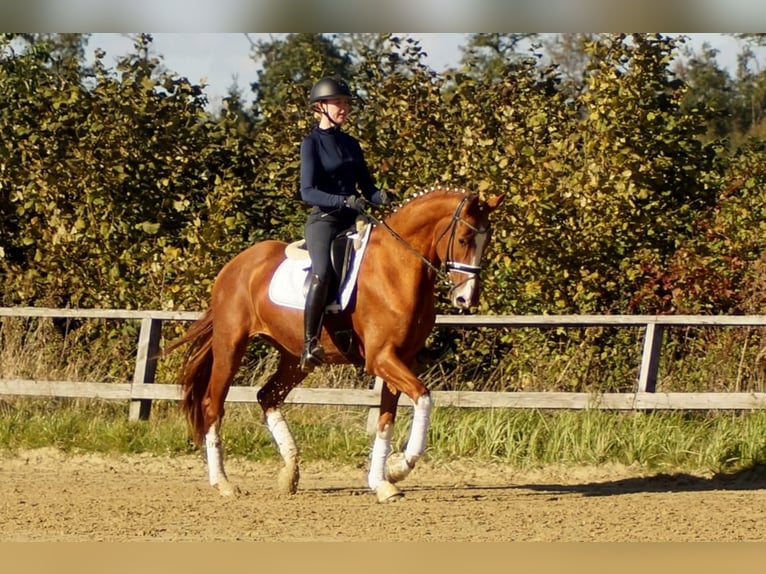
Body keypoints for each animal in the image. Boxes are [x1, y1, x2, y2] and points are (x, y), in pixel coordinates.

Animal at [165, 187, 508, 502]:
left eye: (487, 239)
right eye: (463, 239)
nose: (465, 299)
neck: (396, 267)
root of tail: (235, 265)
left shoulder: (401, 359)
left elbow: (385, 421)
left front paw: (382, 482)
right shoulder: (382, 359)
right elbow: (423, 397)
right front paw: (400, 466)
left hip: (294, 358)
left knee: (267, 396)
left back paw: (290, 473)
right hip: (231, 345)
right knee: (213, 404)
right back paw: (223, 483)